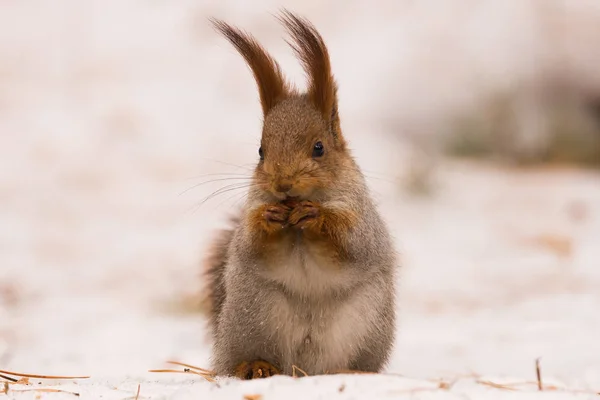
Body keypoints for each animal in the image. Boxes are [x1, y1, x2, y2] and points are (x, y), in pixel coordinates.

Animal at [202, 9, 398, 378]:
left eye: (319, 148)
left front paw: (317, 217)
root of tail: (304, 369)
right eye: (261, 151)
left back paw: (352, 372)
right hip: (250, 315)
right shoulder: (252, 218)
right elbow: (251, 245)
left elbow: (354, 243)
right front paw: (269, 218)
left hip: (366, 323)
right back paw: (255, 366)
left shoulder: (361, 215)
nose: (282, 184)